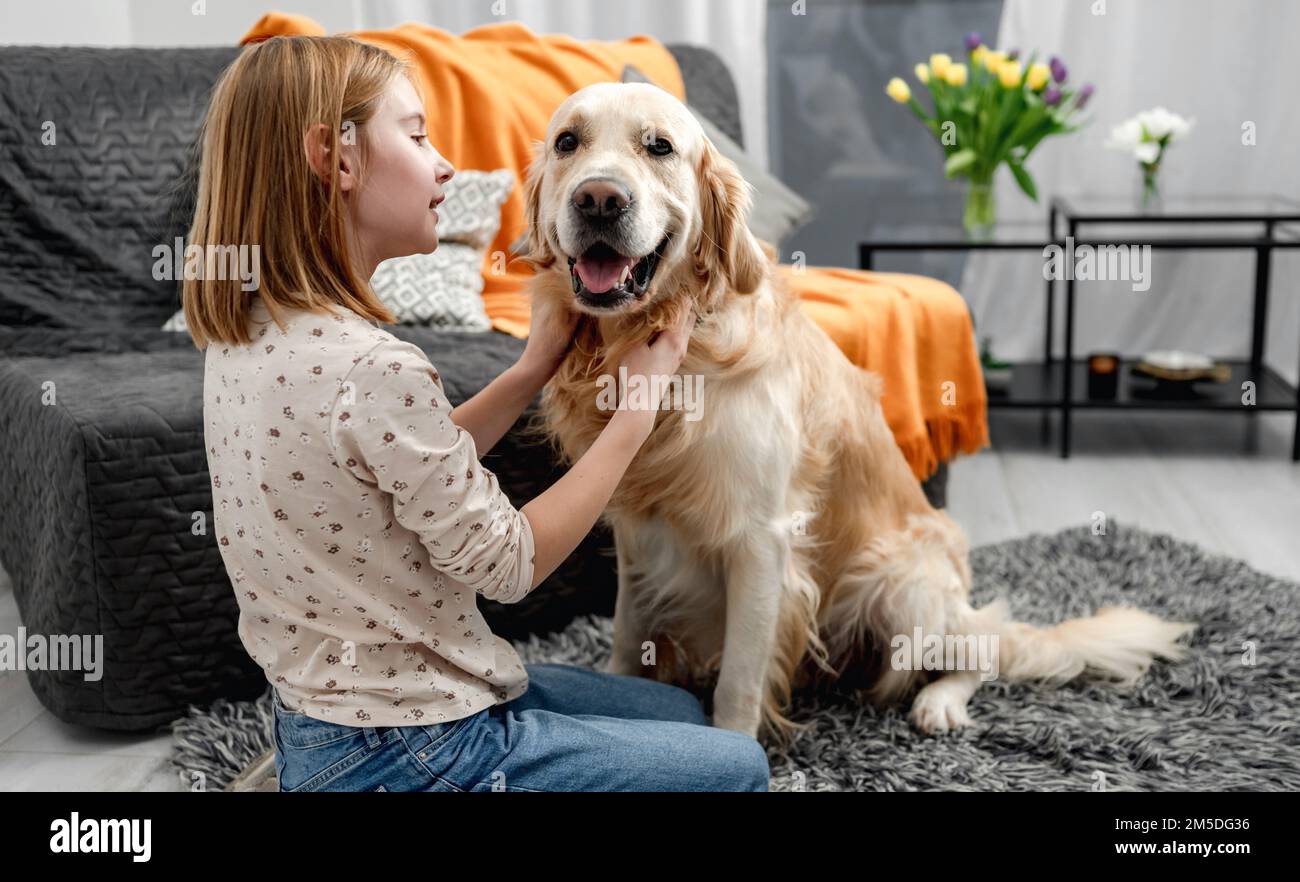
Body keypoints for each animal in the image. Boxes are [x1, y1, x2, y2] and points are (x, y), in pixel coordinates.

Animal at [517, 84, 1196, 744]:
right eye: (568, 142)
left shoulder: (761, 542)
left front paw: (737, 746)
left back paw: (939, 703)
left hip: (897, 578)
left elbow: (739, 681)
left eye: (659, 146)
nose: (599, 199)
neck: (663, 351)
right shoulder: (637, 535)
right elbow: (629, 636)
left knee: (979, 648)